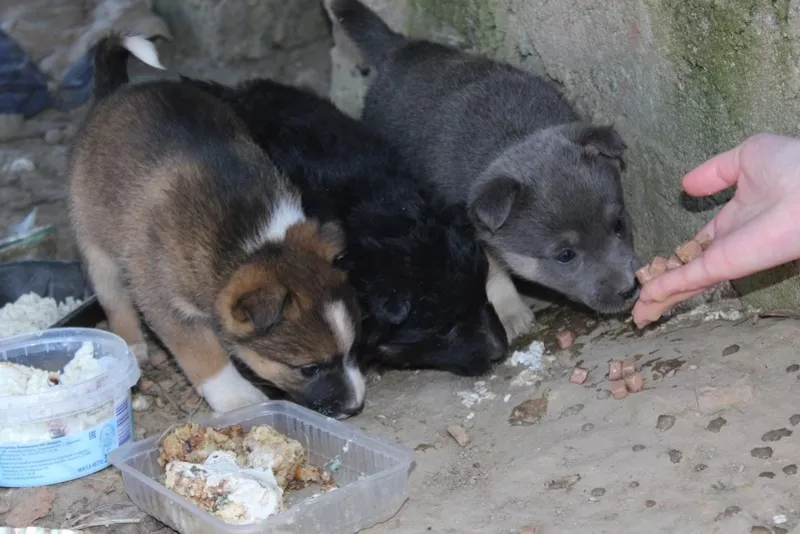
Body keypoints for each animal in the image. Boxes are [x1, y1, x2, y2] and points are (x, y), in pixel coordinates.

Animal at [69, 35, 366, 420]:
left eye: (355, 348)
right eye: (308, 368)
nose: (355, 406)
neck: (251, 243)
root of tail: (113, 91)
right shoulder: (167, 305)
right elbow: (205, 356)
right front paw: (239, 400)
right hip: (97, 251)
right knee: (116, 302)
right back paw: (132, 348)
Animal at [328, 0, 640, 344]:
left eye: (619, 224)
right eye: (565, 255)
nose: (629, 289)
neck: (512, 139)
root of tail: (397, 48)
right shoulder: (470, 232)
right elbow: (494, 273)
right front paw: (511, 314)